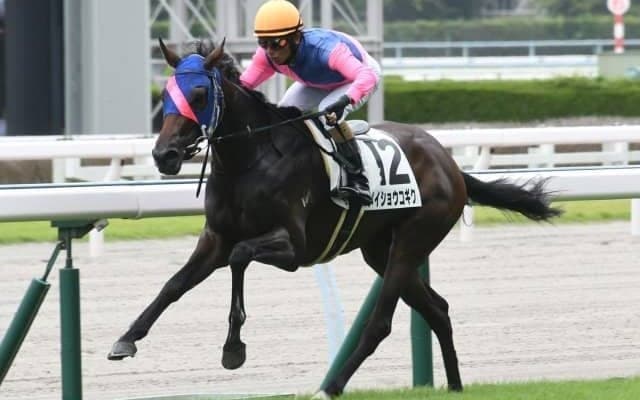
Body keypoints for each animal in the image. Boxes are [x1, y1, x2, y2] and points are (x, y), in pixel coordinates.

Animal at [108, 39, 561, 397]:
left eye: (200, 94)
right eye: (167, 92)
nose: (164, 155)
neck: (250, 159)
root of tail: (448, 161)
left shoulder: (293, 248)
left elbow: (239, 257)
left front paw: (233, 349)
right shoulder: (215, 237)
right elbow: (174, 285)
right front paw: (126, 340)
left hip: (414, 238)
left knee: (381, 324)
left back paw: (331, 387)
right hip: (380, 249)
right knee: (438, 309)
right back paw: (454, 385)